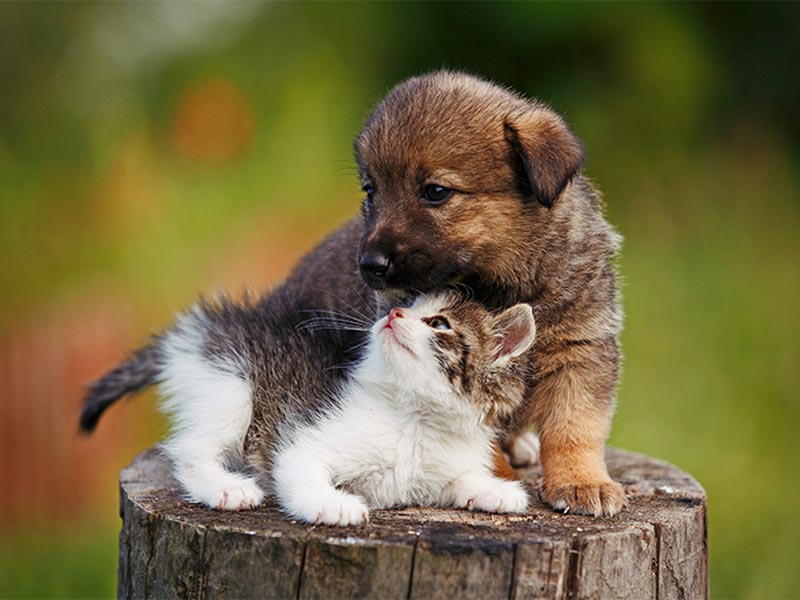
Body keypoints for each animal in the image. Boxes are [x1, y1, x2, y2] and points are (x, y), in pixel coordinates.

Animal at [81, 292, 536, 524]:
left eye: (439, 323)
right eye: (407, 308)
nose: (392, 312)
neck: (414, 418)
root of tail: (202, 329)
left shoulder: (438, 469)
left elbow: (458, 480)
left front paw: (495, 492)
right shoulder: (305, 438)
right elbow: (300, 470)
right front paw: (331, 504)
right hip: (230, 384)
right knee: (190, 449)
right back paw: (226, 487)